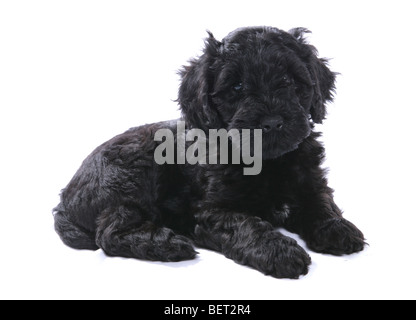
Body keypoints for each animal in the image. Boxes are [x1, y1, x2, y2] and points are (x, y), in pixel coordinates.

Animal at [54, 26, 364, 278]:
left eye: (288, 80)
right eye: (237, 86)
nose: (272, 121)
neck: (268, 162)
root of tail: (65, 199)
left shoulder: (312, 181)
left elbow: (321, 202)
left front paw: (336, 228)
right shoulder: (212, 212)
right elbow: (247, 224)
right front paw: (280, 251)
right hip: (130, 173)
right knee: (109, 232)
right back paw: (168, 244)